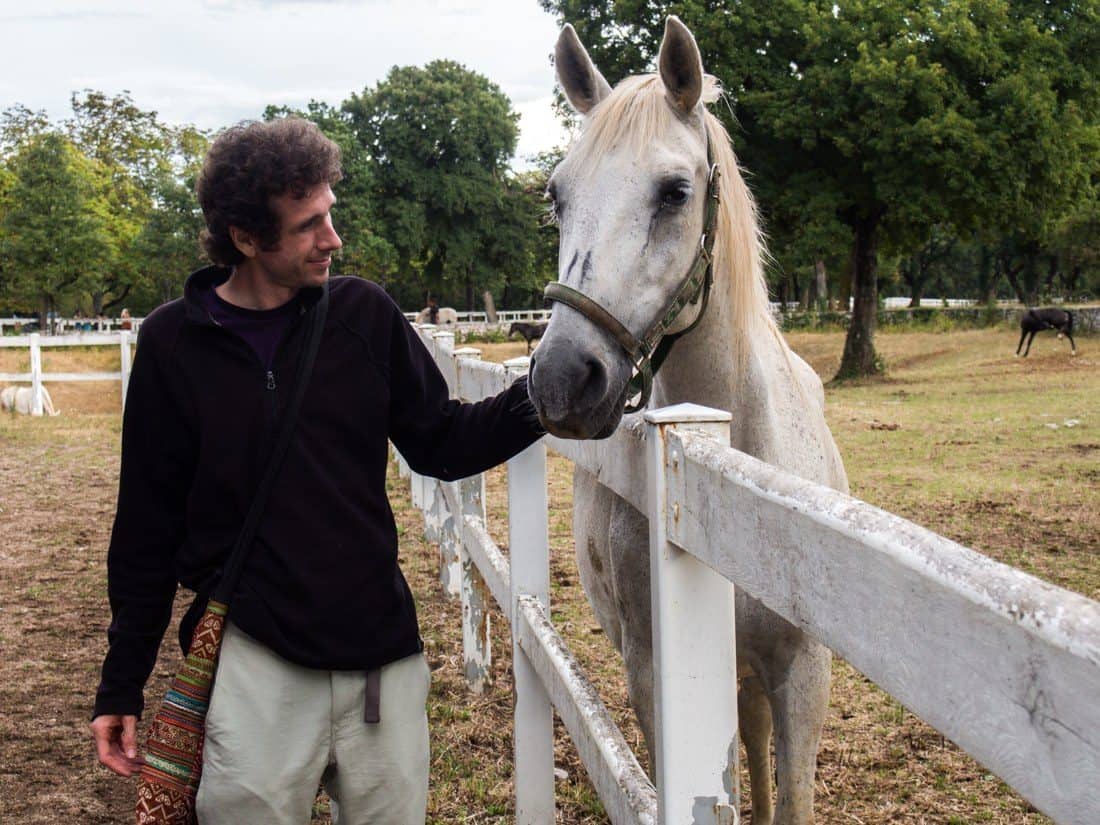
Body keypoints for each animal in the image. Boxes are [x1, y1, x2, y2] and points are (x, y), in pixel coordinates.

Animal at [530, 19, 849, 825]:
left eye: (674, 191)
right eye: (556, 196)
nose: (561, 379)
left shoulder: (804, 673)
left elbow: (792, 796)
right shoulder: (652, 672)